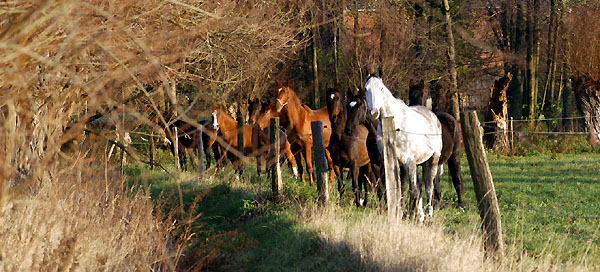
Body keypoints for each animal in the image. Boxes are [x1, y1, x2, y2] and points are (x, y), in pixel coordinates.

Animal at [364, 75, 442, 223]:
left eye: (381, 88)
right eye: (366, 89)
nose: (374, 113)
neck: (395, 125)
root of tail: (433, 116)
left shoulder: (408, 162)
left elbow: (413, 190)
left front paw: (415, 217)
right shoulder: (393, 163)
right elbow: (398, 189)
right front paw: (400, 214)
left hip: (432, 160)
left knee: (429, 186)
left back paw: (427, 213)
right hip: (416, 164)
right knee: (419, 186)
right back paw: (420, 213)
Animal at [408, 80, 464, 208]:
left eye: (422, 96)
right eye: (410, 97)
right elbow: (415, 186)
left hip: (454, 157)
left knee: (456, 178)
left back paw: (460, 205)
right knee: (436, 182)